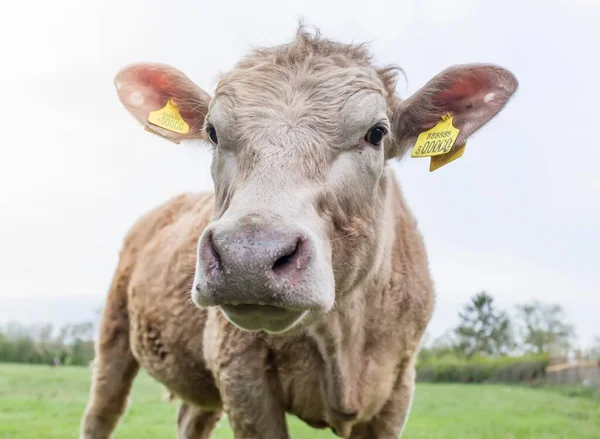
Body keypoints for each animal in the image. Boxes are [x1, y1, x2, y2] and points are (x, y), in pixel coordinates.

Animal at [82, 27, 516, 439]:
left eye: (376, 133)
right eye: (213, 132)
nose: (248, 256)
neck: (343, 339)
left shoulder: (398, 391)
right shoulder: (241, 375)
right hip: (114, 334)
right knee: (101, 413)